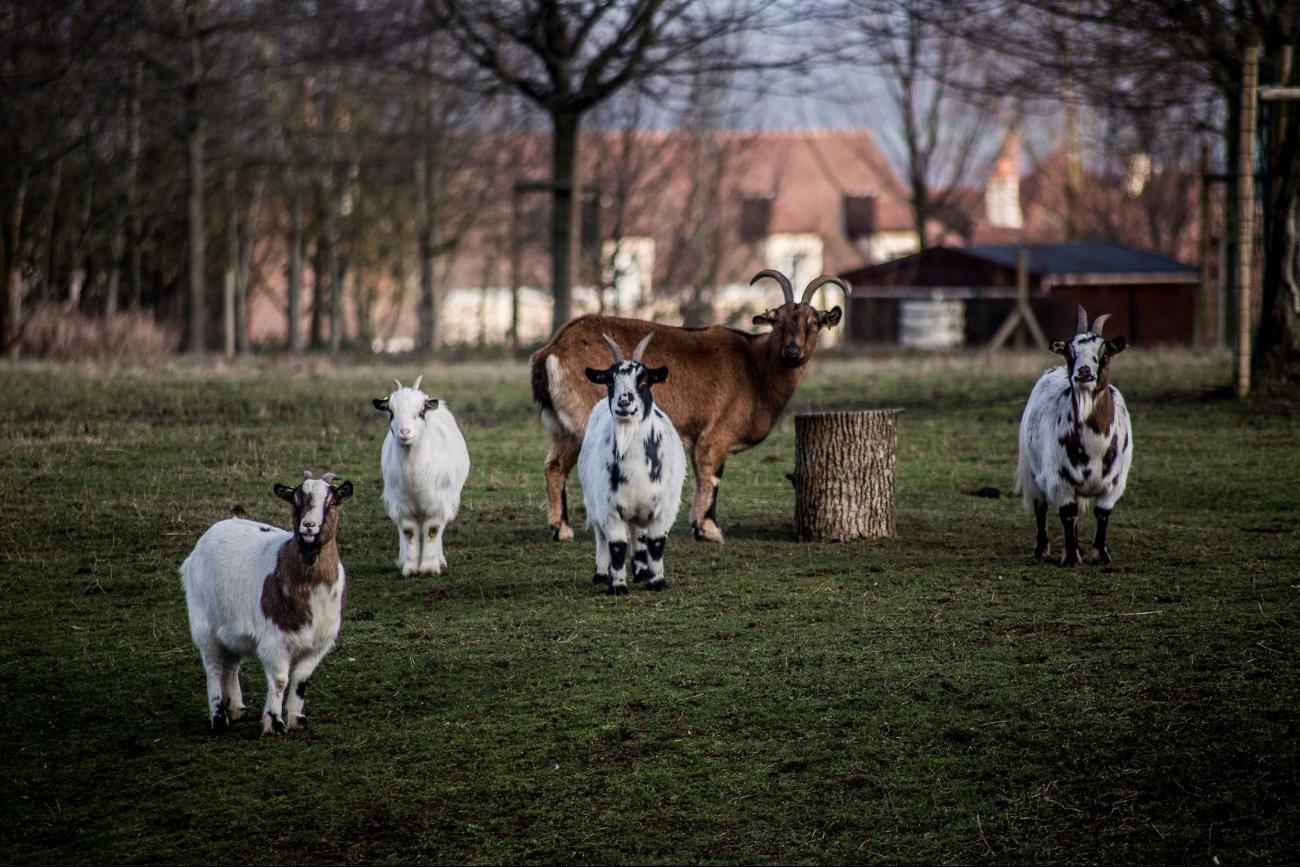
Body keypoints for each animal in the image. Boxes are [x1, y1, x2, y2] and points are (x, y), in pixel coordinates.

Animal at [178, 470, 353, 738]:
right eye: (295, 500)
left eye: (332, 502)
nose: (308, 526)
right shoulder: (275, 640)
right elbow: (280, 680)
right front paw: (274, 723)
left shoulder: (318, 643)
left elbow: (301, 680)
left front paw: (297, 719)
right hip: (204, 624)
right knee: (214, 667)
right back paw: (219, 717)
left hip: (232, 631)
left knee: (231, 666)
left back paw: (237, 709)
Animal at [530, 269, 847, 543]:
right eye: (778, 322)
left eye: (813, 324)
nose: (793, 352)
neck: (756, 368)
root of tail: (552, 350)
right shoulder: (715, 434)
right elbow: (711, 476)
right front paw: (708, 530)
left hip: (563, 428)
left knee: (554, 467)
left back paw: (561, 529)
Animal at [574, 328, 686, 592]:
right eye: (609, 381)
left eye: (644, 381)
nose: (624, 402)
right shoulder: (609, 509)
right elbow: (616, 545)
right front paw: (617, 585)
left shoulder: (664, 508)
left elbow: (656, 543)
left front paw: (657, 580)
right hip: (593, 502)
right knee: (602, 537)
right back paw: (602, 573)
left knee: (640, 535)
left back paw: (642, 571)